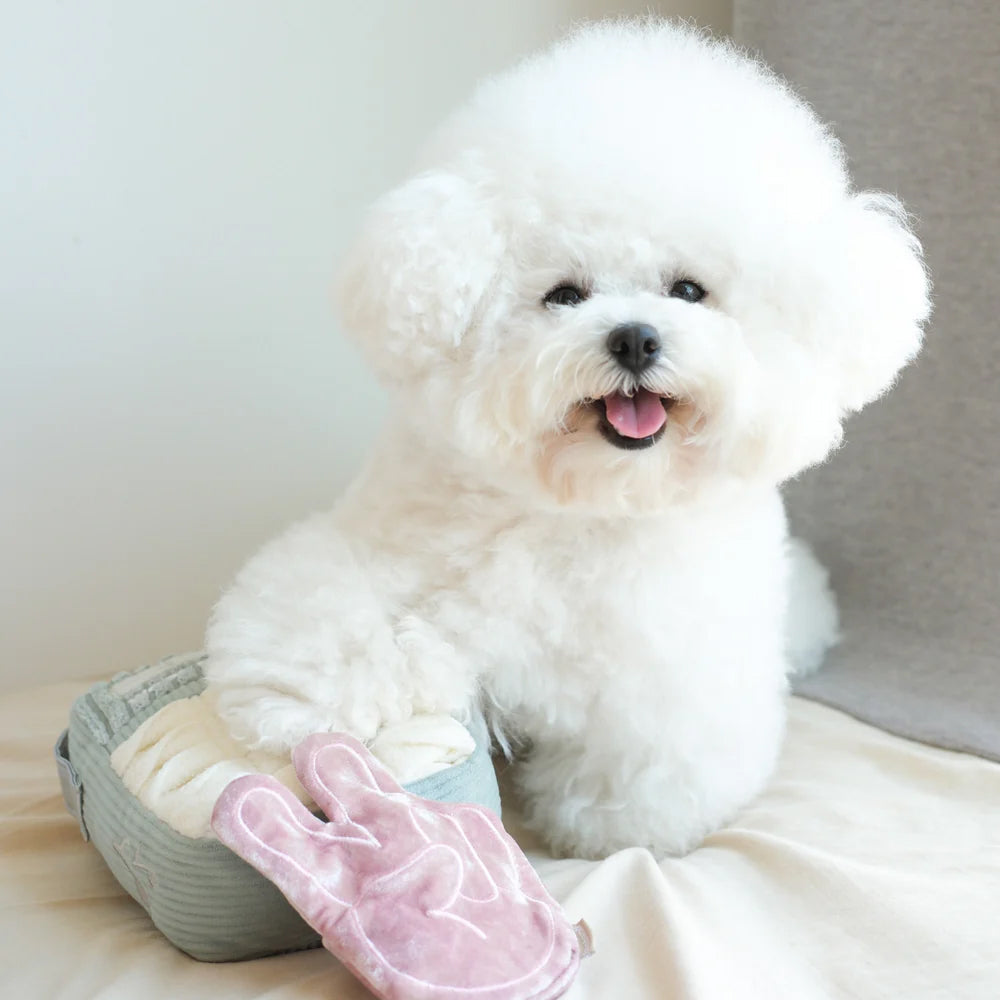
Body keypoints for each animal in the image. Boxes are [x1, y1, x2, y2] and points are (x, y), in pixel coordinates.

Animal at [204, 20, 929, 859]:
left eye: (688, 290)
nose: (636, 338)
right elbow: (342, 622)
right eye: (564, 294)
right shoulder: (376, 549)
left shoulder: (668, 674)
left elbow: (644, 758)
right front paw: (307, 706)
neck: (582, 503)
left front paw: (615, 827)